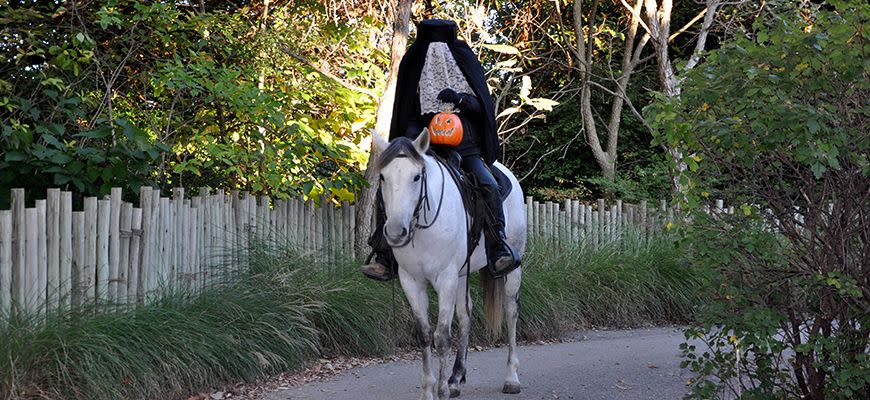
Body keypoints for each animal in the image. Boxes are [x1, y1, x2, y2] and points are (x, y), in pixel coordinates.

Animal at [372, 129, 528, 400]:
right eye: (383, 176)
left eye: (416, 176)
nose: (395, 232)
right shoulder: (411, 281)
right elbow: (424, 335)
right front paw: (430, 390)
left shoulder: (445, 279)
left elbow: (442, 336)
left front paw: (441, 390)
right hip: (462, 275)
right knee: (466, 315)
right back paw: (456, 378)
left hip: (512, 268)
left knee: (511, 312)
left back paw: (511, 378)